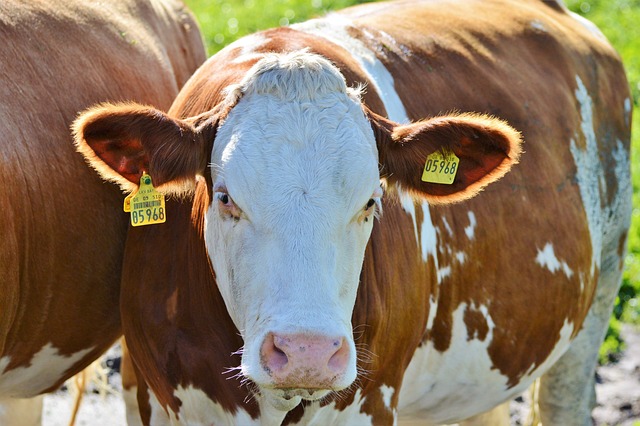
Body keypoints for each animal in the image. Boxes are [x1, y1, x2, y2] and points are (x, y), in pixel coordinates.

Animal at [72, 1, 632, 424]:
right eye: (226, 197)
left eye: (371, 201)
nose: (307, 355)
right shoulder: (154, 394)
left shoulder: (371, 399)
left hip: (595, 308)